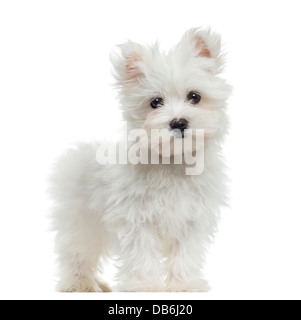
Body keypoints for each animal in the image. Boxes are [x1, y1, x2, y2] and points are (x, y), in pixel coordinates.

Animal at [50, 28, 231, 292]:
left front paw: (184, 285)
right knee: (76, 254)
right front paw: (143, 286)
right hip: (83, 223)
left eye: (194, 96)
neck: (172, 161)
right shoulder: (138, 219)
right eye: (155, 102)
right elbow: (141, 254)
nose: (178, 122)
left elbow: (185, 255)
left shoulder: (192, 221)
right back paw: (79, 284)